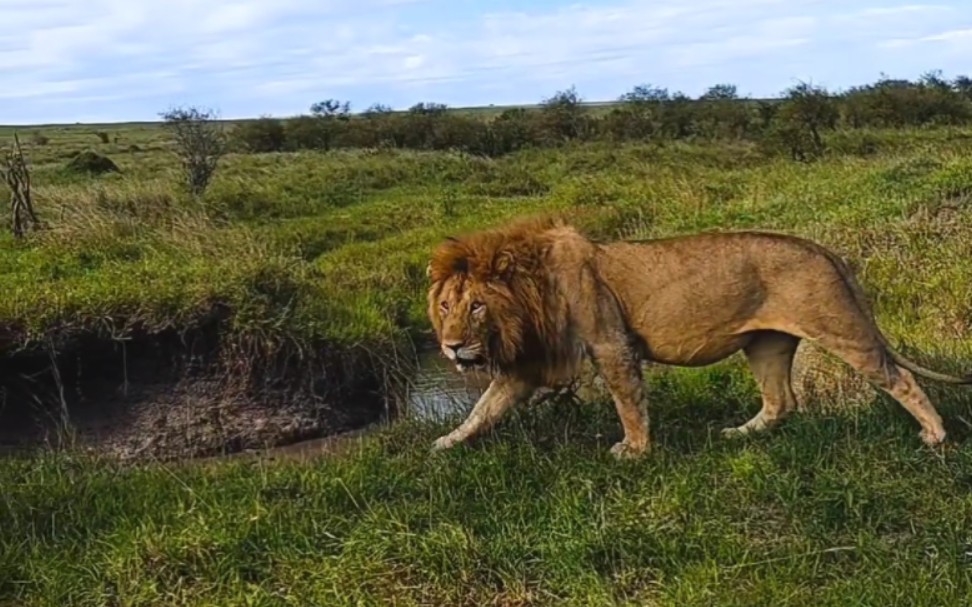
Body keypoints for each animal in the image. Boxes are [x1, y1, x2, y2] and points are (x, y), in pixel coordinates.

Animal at [426, 216, 972, 458]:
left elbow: (628, 401)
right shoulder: (528, 363)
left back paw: (935, 435)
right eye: (446, 307)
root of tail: (819, 247)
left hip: (839, 326)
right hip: (765, 343)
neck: (532, 292)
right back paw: (739, 434)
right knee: (781, 401)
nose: (450, 346)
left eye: (477, 305)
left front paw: (634, 451)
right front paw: (446, 442)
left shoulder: (611, 343)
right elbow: (485, 408)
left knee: (900, 379)